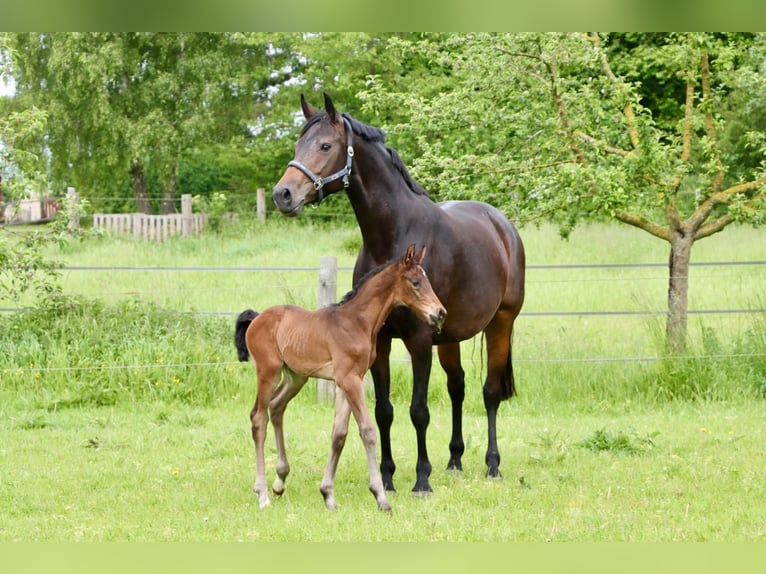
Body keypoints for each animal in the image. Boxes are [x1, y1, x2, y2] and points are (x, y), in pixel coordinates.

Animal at [237, 245, 448, 510]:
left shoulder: (347, 380)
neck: (356, 322)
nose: (440, 313)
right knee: (258, 417)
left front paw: (328, 494)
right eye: (416, 282)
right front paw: (381, 496)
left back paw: (279, 482)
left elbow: (339, 434)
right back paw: (263, 494)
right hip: (268, 372)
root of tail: (256, 317)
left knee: (275, 408)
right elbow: (367, 430)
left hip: (295, 376)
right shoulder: (350, 380)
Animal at [274, 93, 528, 496]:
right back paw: (454, 460)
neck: (393, 235)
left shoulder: (419, 339)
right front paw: (389, 477)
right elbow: (384, 411)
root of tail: (503, 226)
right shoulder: (381, 342)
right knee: (457, 387)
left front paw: (422, 479)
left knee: (489, 392)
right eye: (298, 146)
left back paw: (492, 464)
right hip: (450, 336)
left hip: (500, 323)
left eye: (325, 145)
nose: (283, 195)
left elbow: (418, 411)